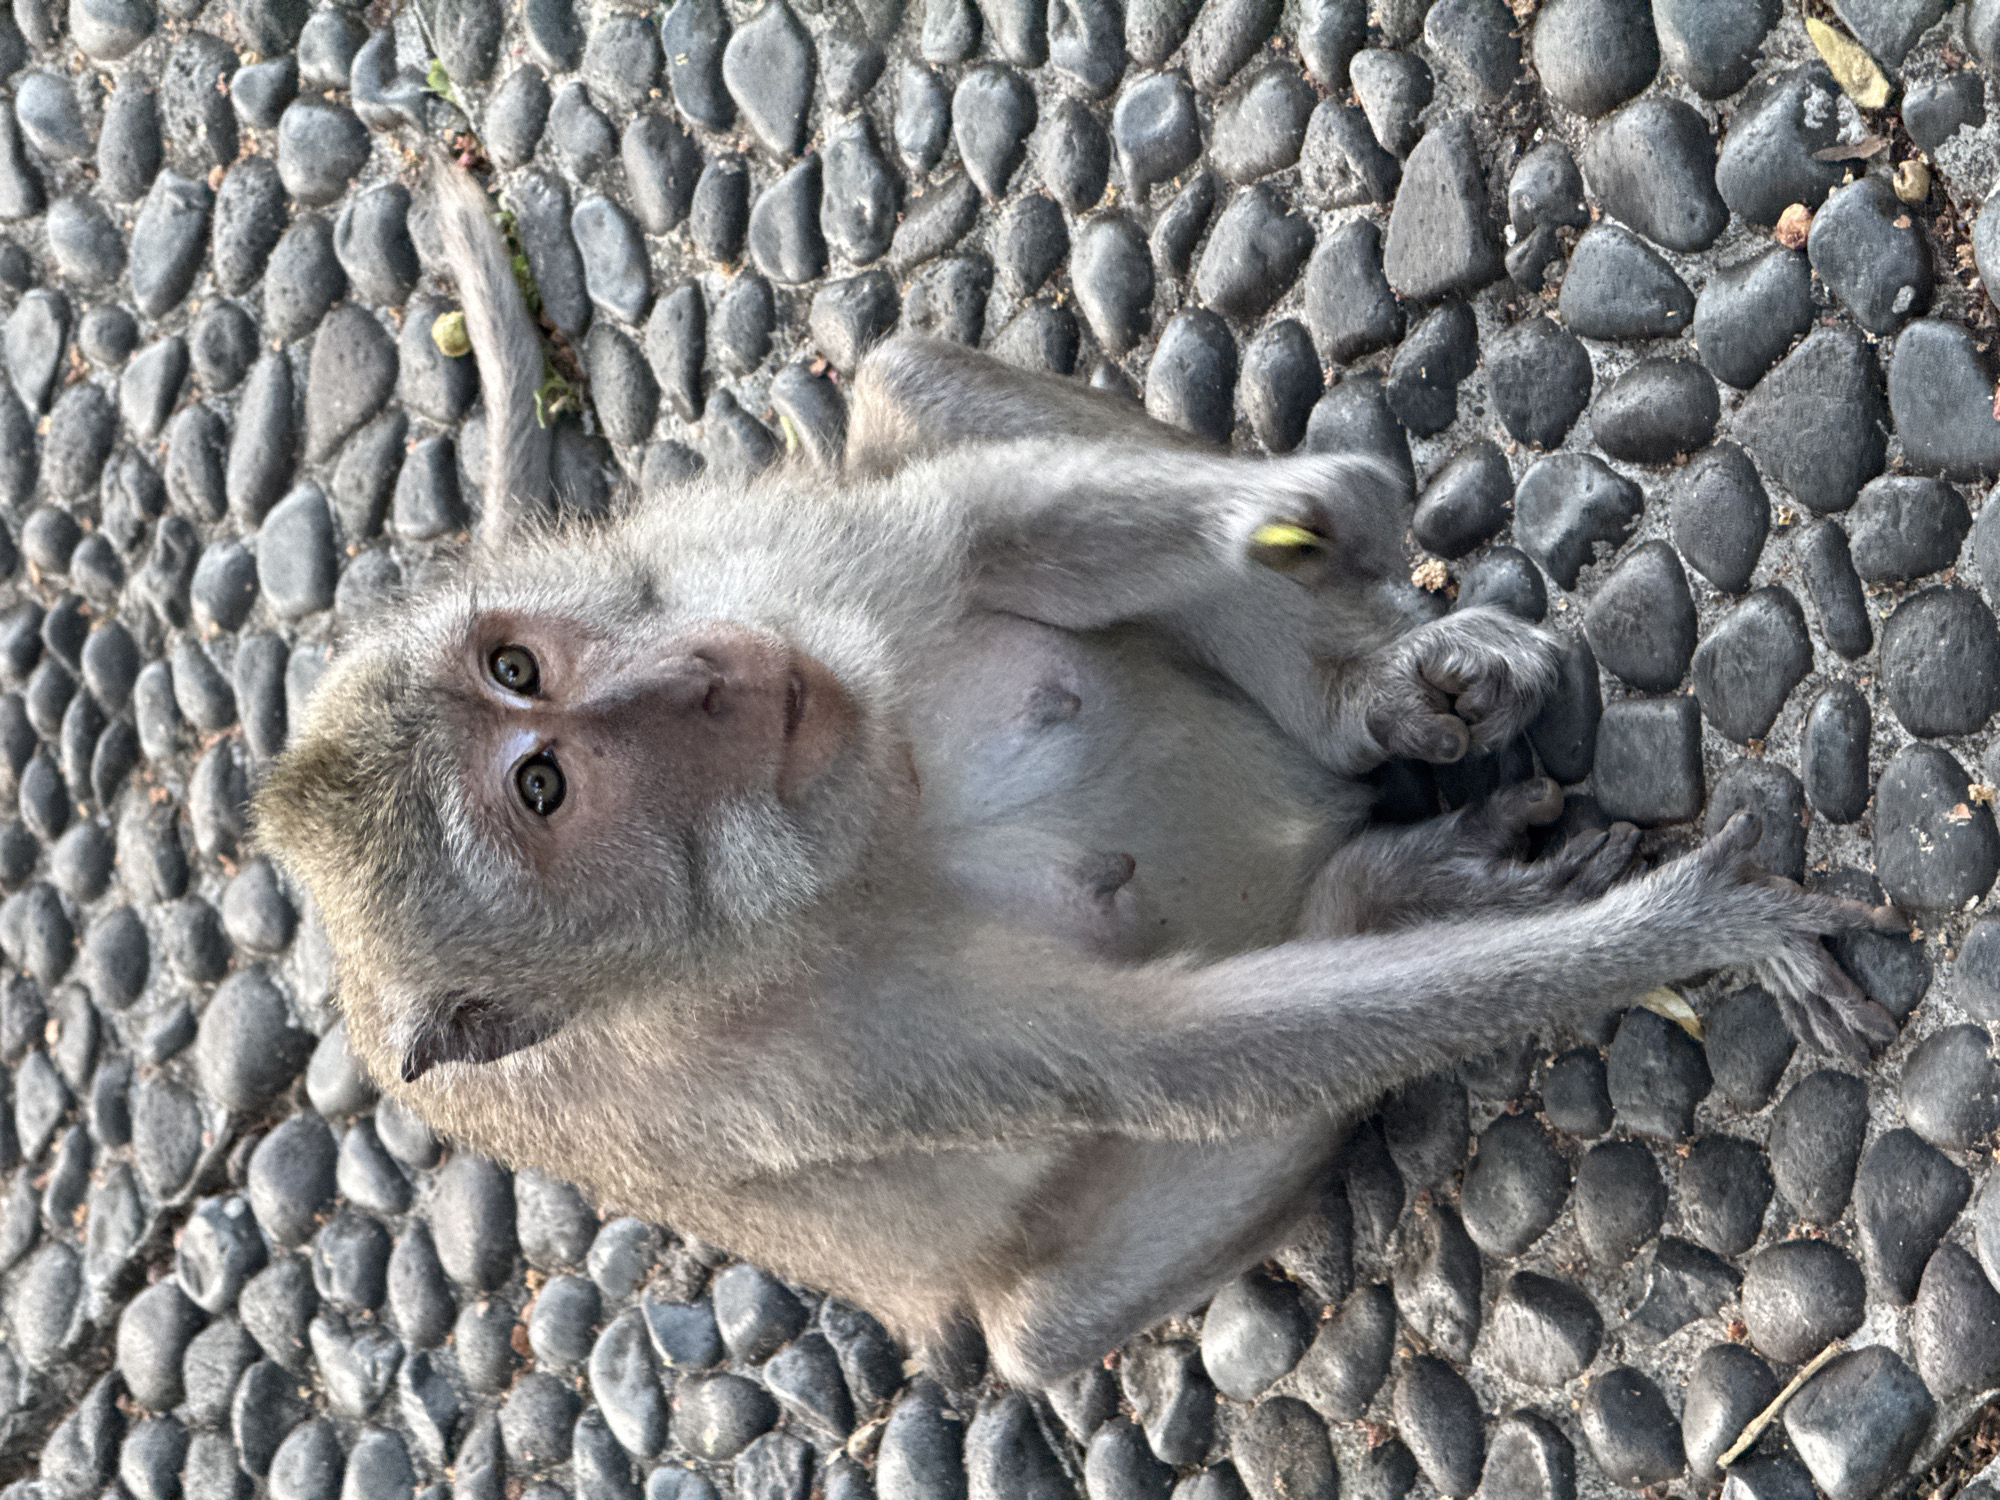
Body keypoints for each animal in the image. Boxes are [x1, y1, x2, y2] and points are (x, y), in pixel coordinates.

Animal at [253, 159, 1902, 1389]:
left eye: (516, 671)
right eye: (543, 790)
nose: (693, 681)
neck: (851, 829)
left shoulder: (757, 584)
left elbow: (974, 533)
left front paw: (1305, 511)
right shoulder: (825, 1058)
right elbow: (1179, 1063)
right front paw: (1693, 931)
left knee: (902, 388)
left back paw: (1360, 702)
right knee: (1042, 1335)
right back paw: (1374, 888)